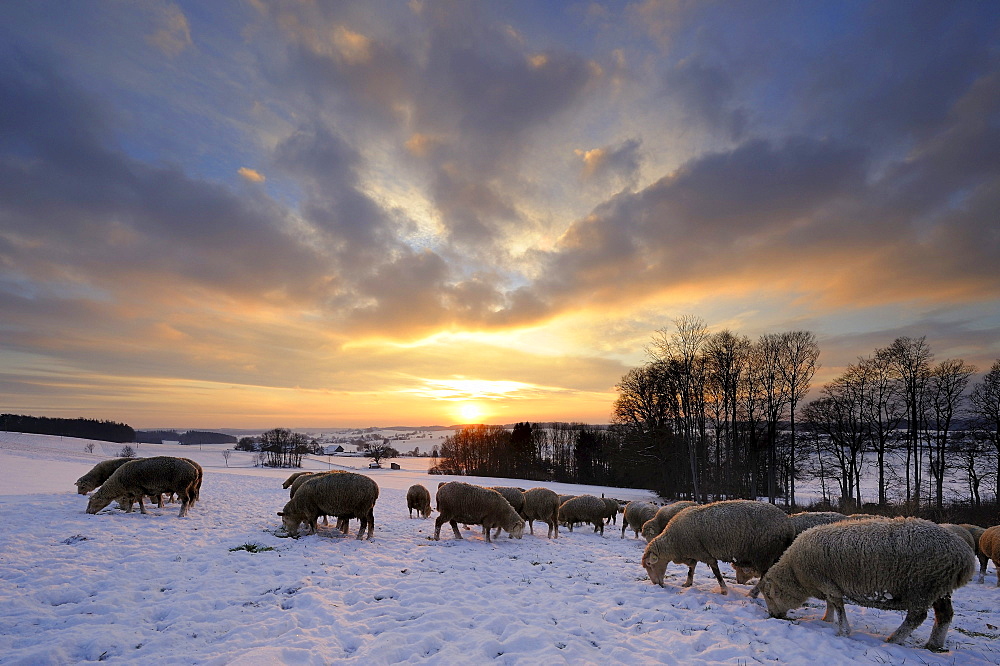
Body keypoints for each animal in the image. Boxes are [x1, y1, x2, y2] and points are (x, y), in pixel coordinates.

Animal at [640, 498, 796, 596]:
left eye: (650, 564)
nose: (656, 584)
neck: (674, 543)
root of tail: (788, 525)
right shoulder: (695, 551)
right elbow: (691, 568)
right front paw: (688, 583)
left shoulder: (705, 554)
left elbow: (716, 573)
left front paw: (724, 590)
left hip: (764, 554)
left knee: (765, 575)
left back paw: (752, 593)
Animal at [760, 512, 972, 648]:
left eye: (769, 595)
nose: (773, 616)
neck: (795, 573)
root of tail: (965, 556)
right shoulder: (828, 582)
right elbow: (831, 604)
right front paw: (827, 619)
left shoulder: (826, 582)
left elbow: (837, 605)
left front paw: (842, 631)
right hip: (940, 588)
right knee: (944, 615)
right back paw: (933, 644)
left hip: (922, 586)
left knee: (917, 616)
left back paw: (893, 640)